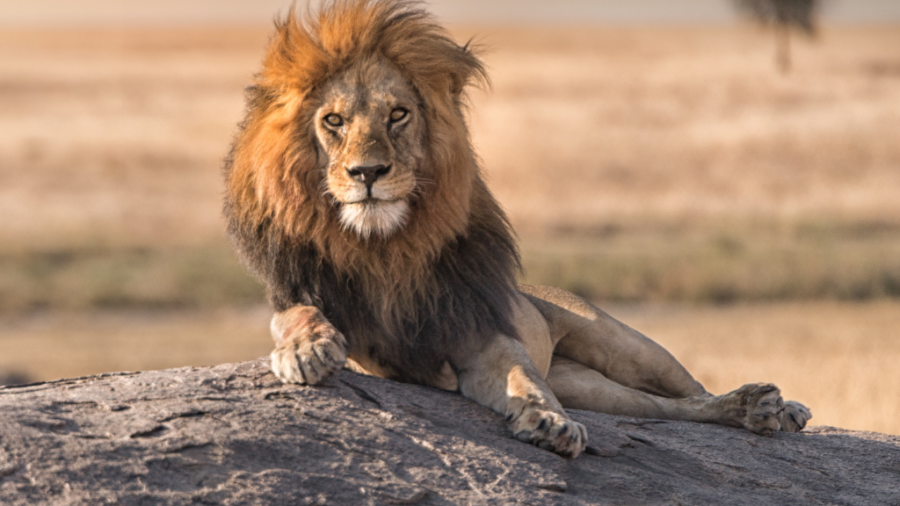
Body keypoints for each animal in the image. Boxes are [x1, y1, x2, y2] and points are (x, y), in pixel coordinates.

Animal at [223, 0, 808, 458]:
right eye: (334, 121)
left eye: (398, 115)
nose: (367, 173)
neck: (385, 248)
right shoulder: (342, 328)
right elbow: (294, 315)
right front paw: (307, 348)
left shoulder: (481, 333)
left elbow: (521, 378)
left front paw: (548, 421)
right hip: (592, 387)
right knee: (667, 409)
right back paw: (756, 411)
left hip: (622, 344)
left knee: (690, 389)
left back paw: (771, 406)